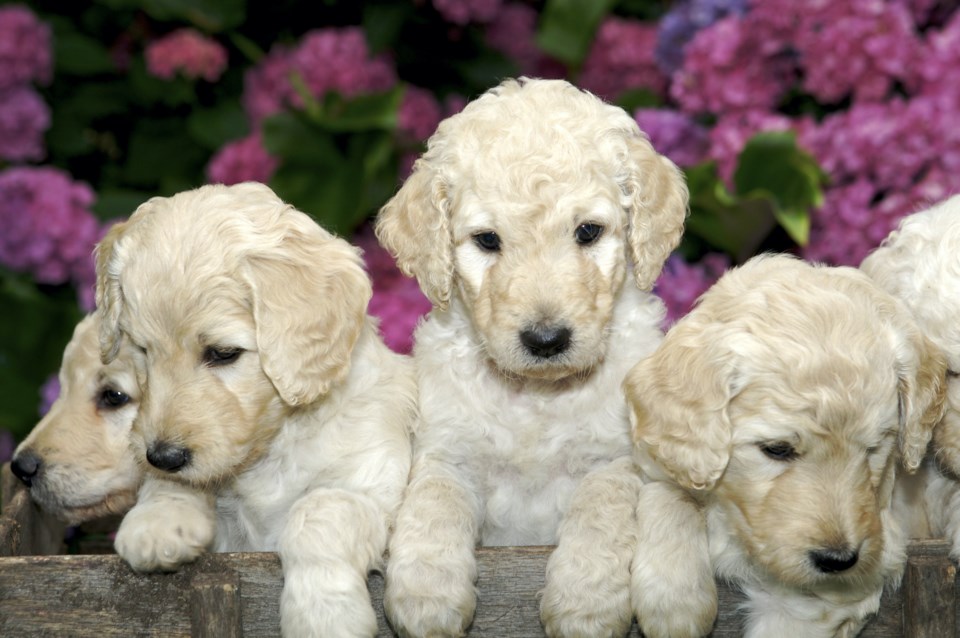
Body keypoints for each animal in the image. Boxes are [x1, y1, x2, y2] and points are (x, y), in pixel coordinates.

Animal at [95, 182, 418, 636]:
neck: (273, 446)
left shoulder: (370, 487)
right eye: (142, 350)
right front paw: (158, 520)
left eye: (223, 353)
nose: (164, 457)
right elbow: (175, 485)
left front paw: (323, 614)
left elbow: (317, 511)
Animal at [376, 77, 688, 636]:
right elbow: (433, 503)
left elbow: (599, 512)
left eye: (588, 231)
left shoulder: (616, 458)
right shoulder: (448, 451)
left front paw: (585, 605)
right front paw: (426, 597)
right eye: (486, 240)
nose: (546, 340)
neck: (538, 396)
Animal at [624, 255, 944, 638]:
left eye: (872, 449)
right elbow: (670, 490)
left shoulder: (863, 570)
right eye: (777, 449)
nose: (837, 560)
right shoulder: (665, 453)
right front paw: (675, 599)